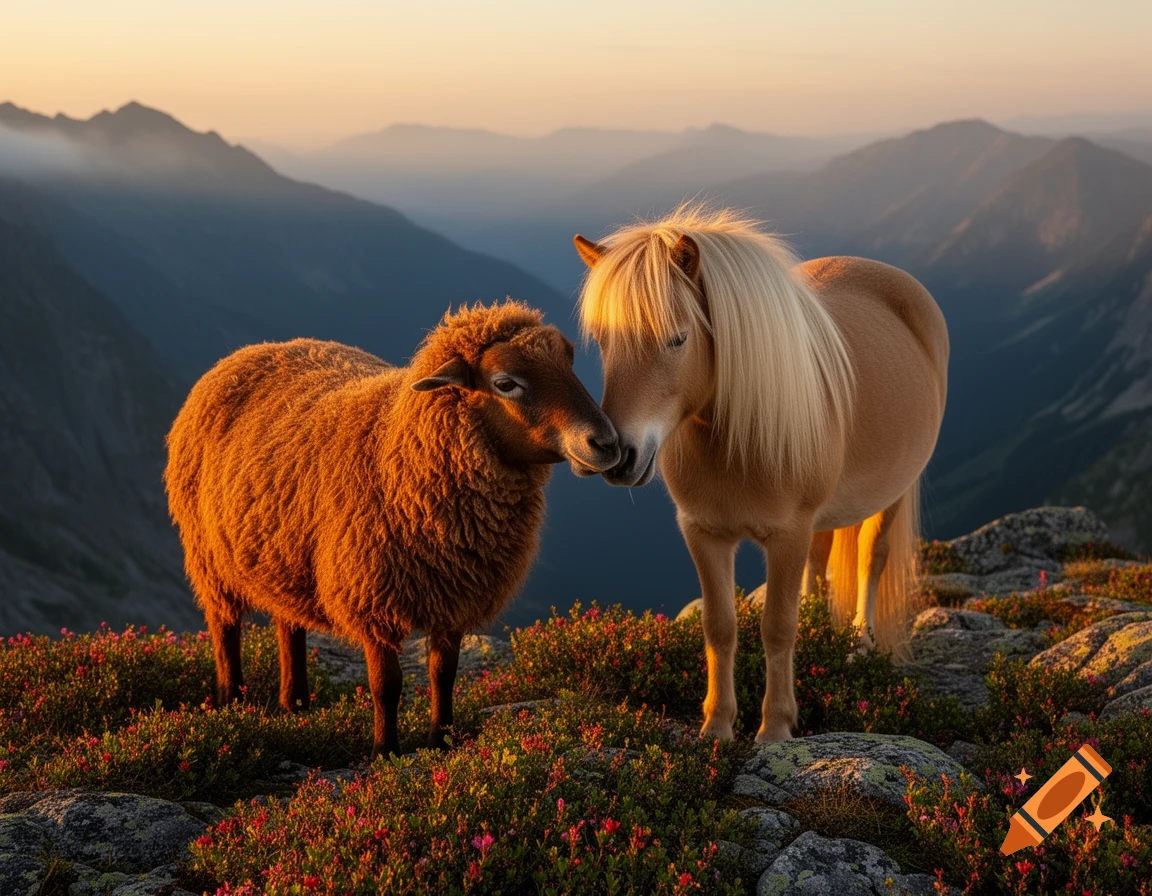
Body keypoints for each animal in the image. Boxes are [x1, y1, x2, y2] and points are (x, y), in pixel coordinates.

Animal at [164, 301, 620, 756]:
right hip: (209, 556)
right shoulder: (373, 600)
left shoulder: (456, 595)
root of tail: (250, 351)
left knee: (288, 626)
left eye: (570, 362)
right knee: (225, 628)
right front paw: (385, 752)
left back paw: (295, 705)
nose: (608, 443)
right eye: (505, 383)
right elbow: (386, 685)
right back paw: (231, 703)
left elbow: (443, 673)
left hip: (282, 556)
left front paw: (441, 741)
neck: (396, 452)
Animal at [573, 206, 948, 743]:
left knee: (870, 561)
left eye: (678, 338)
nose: (617, 454)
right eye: (604, 342)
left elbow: (777, 627)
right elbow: (720, 626)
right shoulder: (704, 532)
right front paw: (717, 725)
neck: (738, 438)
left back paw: (859, 647)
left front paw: (775, 728)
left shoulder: (787, 533)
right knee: (820, 559)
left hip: (891, 495)